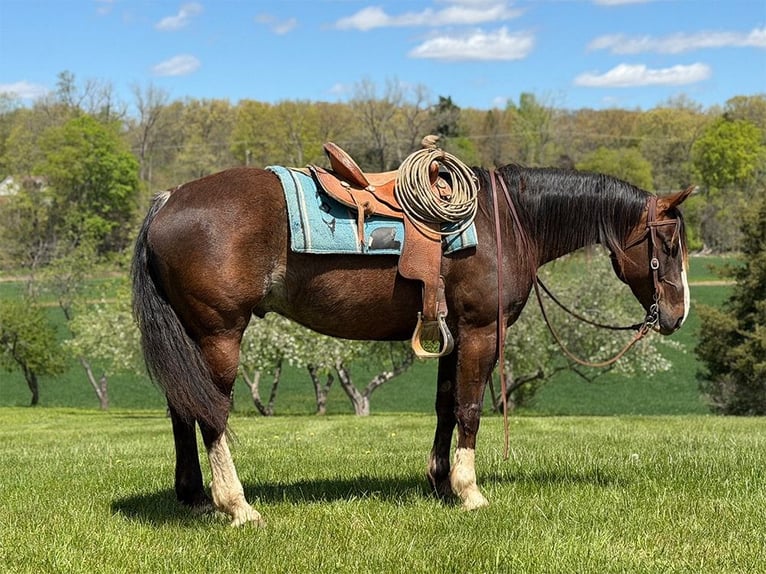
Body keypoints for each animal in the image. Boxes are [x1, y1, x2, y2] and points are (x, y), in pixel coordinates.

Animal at [131, 162, 692, 526]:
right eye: (668, 243)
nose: (677, 314)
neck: (506, 221)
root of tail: (168, 200)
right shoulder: (481, 330)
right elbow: (469, 408)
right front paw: (469, 492)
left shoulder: (453, 332)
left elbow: (445, 405)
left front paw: (440, 482)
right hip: (219, 334)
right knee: (211, 413)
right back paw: (236, 505)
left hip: (192, 336)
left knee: (182, 407)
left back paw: (195, 496)